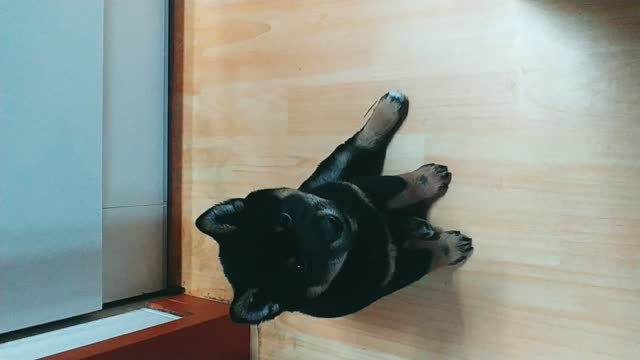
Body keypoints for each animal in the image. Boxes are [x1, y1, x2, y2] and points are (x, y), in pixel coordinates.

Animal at [198, 91, 472, 324]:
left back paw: (388, 108)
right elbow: (425, 258)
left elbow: (401, 184)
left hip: (330, 178)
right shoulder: (388, 276)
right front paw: (450, 247)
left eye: (285, 218)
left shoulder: (355, 190)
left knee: (356, 146)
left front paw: (428, 179)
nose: (331, 226)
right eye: (299, 267)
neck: (359, 232)